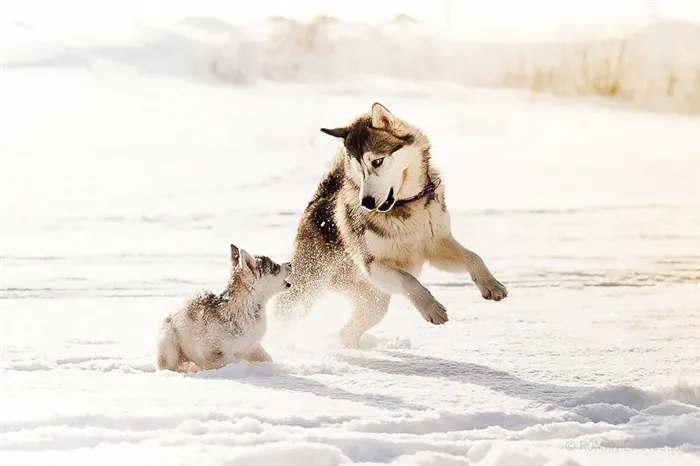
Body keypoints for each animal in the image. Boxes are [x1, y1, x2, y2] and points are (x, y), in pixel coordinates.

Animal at [157, 244, 292, 372]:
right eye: (275, 267)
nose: (290, 263)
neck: (247, 310)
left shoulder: (252, 346)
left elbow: (267, 359)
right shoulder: (213, 355)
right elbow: (234, 361)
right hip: (168, 343)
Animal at [274, 103, 508, 350]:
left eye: (377, 161)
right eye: (358, 168)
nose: (366, 202)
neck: (403, 207)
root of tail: (318, 200)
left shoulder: (436, 246)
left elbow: (473, 257)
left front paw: (491, 285)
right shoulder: (372, 264)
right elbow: (409, 279)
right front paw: (431, 308)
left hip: (375, 302)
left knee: (346, 333)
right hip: (309, 287)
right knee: (282, 315)